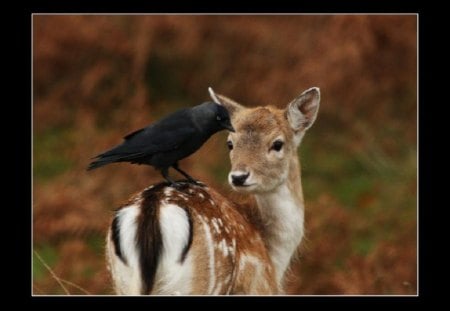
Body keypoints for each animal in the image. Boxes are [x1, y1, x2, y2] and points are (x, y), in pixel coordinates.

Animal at [105, 87, 320, 294]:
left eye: (278, 144)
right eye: (230, 143)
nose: (239, 177)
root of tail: (151, 213)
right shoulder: (259, 287)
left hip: (123, 281)